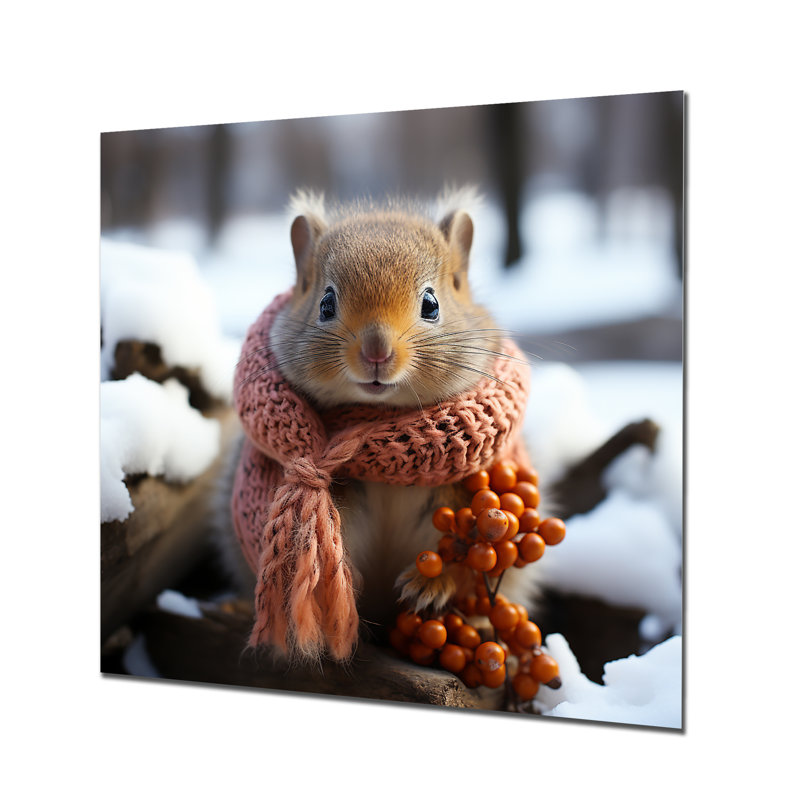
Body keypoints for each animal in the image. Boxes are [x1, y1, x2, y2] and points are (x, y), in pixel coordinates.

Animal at [217, 188, 540, 655]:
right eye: (326, 304)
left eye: (431, 304)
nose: (376, 351)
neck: (381, 417)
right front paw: (341, 588)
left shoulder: (464, 493)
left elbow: (464, 566)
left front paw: (431, 585)